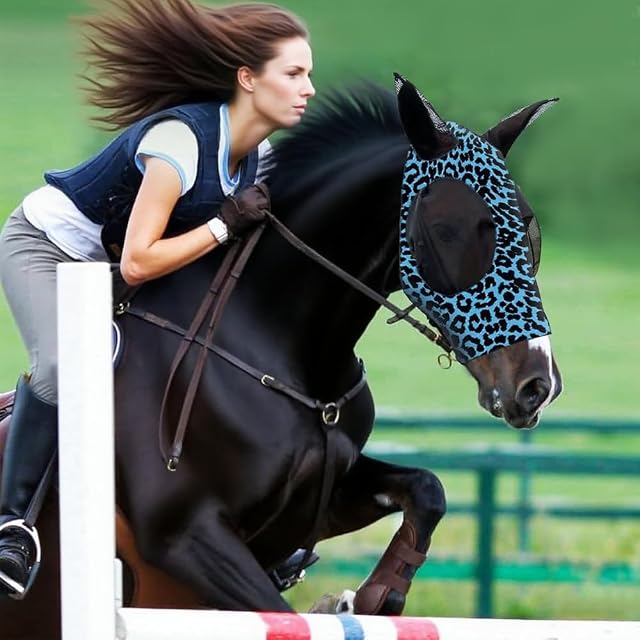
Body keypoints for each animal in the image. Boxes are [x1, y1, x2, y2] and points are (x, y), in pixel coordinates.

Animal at [0, 75, 562, 638]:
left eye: (528, 228)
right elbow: (282, 615)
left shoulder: (319, 502)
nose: (538, 386)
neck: (286, 347)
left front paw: (374, 596)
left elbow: (428, 489)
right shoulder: (185, 537)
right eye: (448, 229)